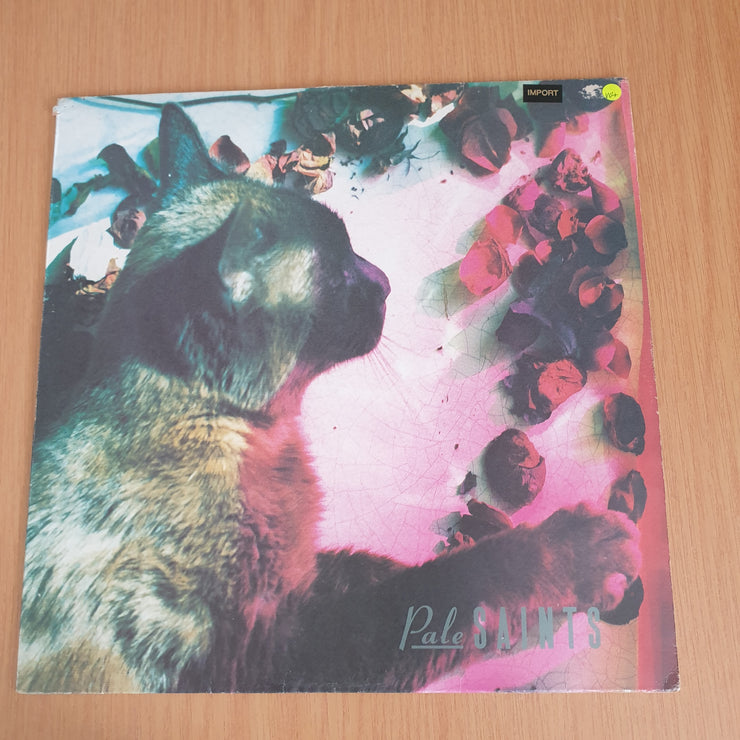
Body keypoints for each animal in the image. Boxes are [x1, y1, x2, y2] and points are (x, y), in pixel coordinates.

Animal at [17, 103, 641, 693]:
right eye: (337, 280)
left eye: (352, 251)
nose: (384, 280)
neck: (255, 435)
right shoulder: (287, 654)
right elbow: (450, 588)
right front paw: (583, 551)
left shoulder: (305, 581)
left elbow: (379, 568)